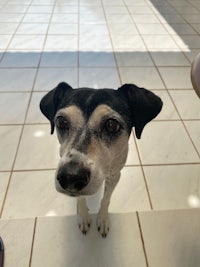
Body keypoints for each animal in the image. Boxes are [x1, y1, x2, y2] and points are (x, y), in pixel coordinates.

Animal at [39, 82, 162, 239]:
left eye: (112, 125)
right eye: (61, 121)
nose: (71, 177)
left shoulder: (115, 175)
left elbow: (106, 199)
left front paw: (103, 219)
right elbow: (80, 199)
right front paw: (83, 216)